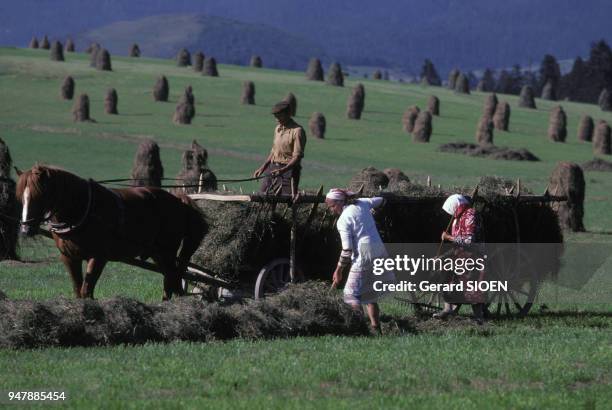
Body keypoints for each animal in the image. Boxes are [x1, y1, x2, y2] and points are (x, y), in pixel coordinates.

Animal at [15, 164, 207, 302]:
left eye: (40, 194)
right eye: (21, 198)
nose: (25, 229)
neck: (83, 209)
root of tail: (179, 201)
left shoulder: (98, 256)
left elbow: (87, 290)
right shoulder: (69, 257)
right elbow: (78, 290)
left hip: (167, 251)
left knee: (172, 277)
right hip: (158, 253)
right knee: (171, 278)